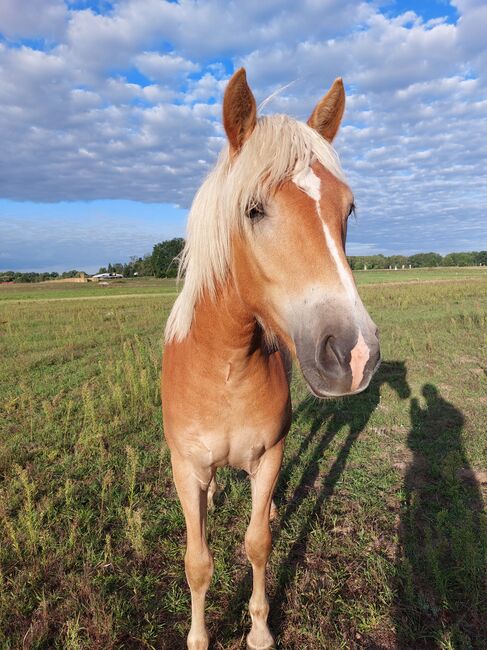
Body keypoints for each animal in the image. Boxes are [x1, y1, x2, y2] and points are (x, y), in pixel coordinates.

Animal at [162, 68, 384, 644]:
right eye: (253, 208)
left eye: (348, 208)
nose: (354, 352)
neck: (224, 366)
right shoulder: (185, 467)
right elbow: (197, 561)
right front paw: (199, 637)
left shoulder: (269, 455)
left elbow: (258, 542)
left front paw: (260, 632)